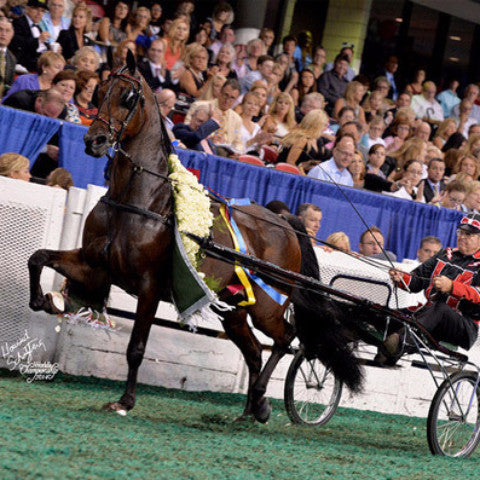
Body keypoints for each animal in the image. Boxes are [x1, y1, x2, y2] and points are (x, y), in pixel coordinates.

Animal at [28, 50, 362, 422]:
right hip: (234, 310)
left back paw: (262, 399)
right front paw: (45, 300)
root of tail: (284, 221)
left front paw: (125, 401)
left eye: (128, 97)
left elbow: (136, 347)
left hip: (267, 306)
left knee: (285, 339)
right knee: (253, 351)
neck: (138, 202)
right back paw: (251, 409)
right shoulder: (94, 265)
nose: (93, 141)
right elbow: (38, 258)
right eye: (99, 92)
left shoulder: (148, 287)